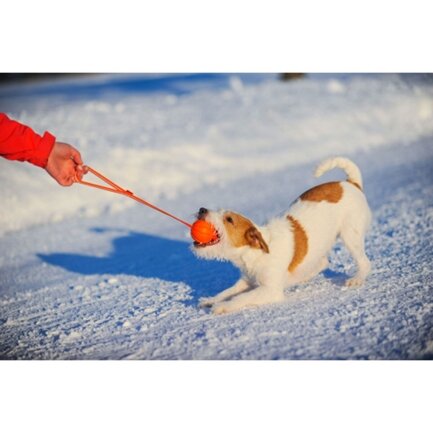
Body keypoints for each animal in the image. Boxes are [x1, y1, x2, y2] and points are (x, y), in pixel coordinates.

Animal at [192, 157, 372, 312]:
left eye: (229, 219)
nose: (202, 209)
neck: (256, 253)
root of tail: (351, 184)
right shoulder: (246, 281)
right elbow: (228, 292)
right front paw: (211, 300)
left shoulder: (269, 290)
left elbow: (241, 298)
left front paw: (223, 306)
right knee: (323, 262)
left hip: (351, 236)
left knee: (364, 262)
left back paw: (357, 279)